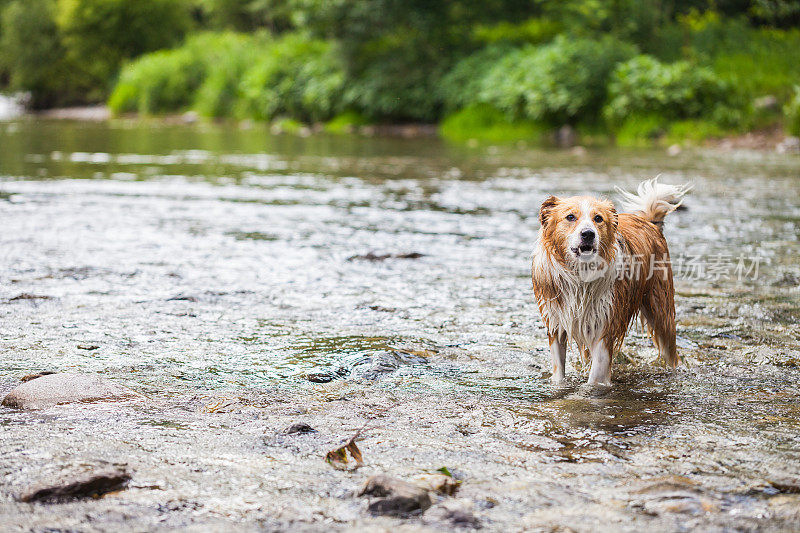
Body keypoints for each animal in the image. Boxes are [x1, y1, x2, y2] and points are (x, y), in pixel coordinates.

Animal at [528, 178, 692, 382]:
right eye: (570, 217)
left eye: (598, 218)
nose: (588, 233)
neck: (580, 276)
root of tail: (649, 221)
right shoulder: (556, 323)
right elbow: (558, 372)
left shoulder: (605, 325)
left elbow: (595, 377)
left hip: (661, 311)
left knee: (671, 352)